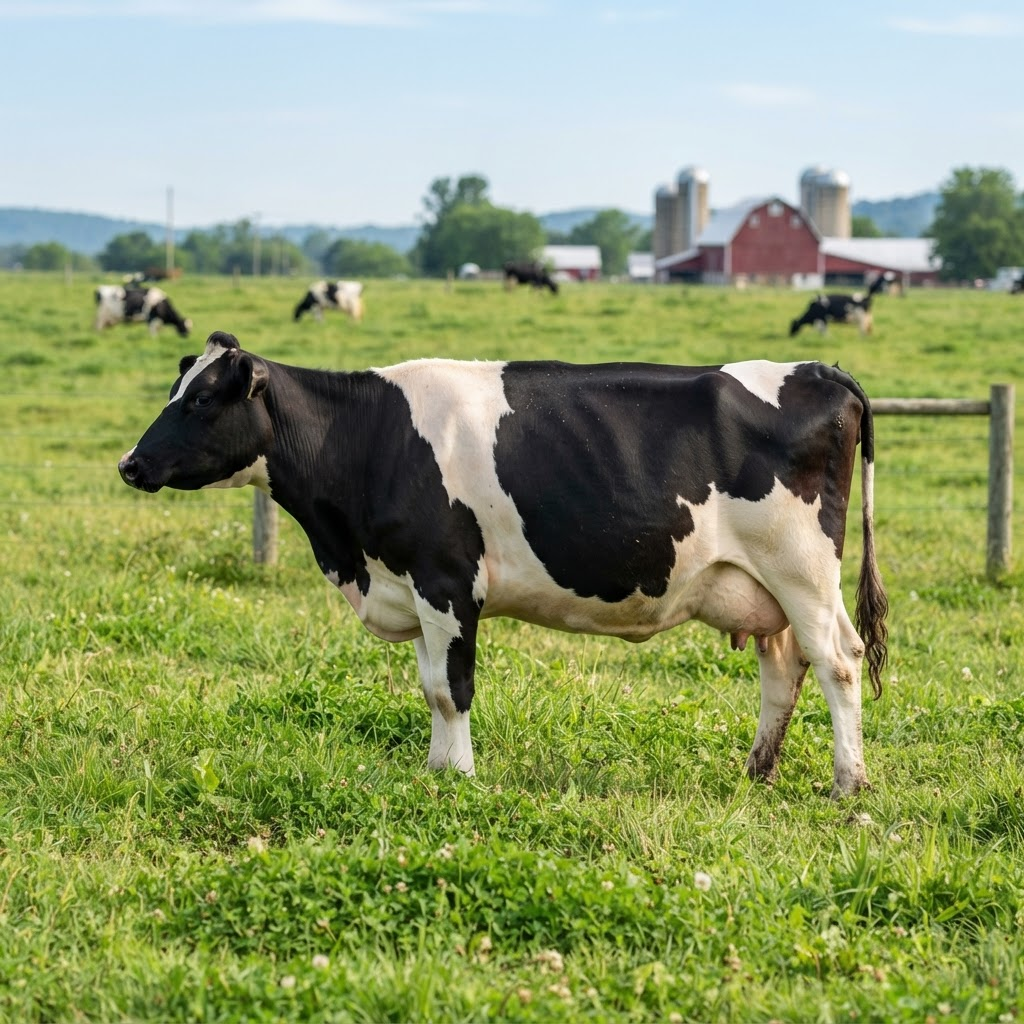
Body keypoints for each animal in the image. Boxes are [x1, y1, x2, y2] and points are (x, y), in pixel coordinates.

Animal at [118, 332, 888, 798]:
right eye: (174, 391)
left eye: (202, 398)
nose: (129, 463)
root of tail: (823, 370)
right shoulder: (413, 586)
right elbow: (430, 686)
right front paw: (435, 769)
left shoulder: (447, 579)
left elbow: (452, 688)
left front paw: (458, 776)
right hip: (759, 585)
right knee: (783, 666)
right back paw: (758, 771)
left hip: (802, 569)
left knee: (839, 660)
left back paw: (848, 783)